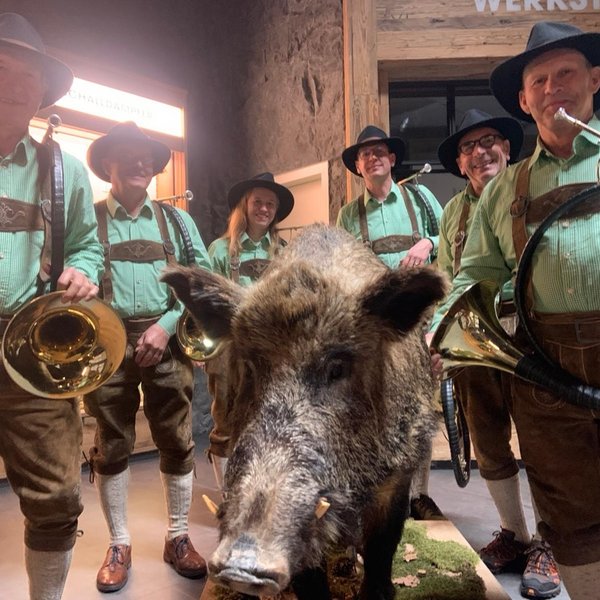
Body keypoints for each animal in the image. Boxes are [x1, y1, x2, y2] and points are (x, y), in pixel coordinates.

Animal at [162, 224, 448, 600]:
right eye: (251, 367)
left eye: (337, 368)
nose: (241, 567)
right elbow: (309, 577)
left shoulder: (398, 469)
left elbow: (382, 547)